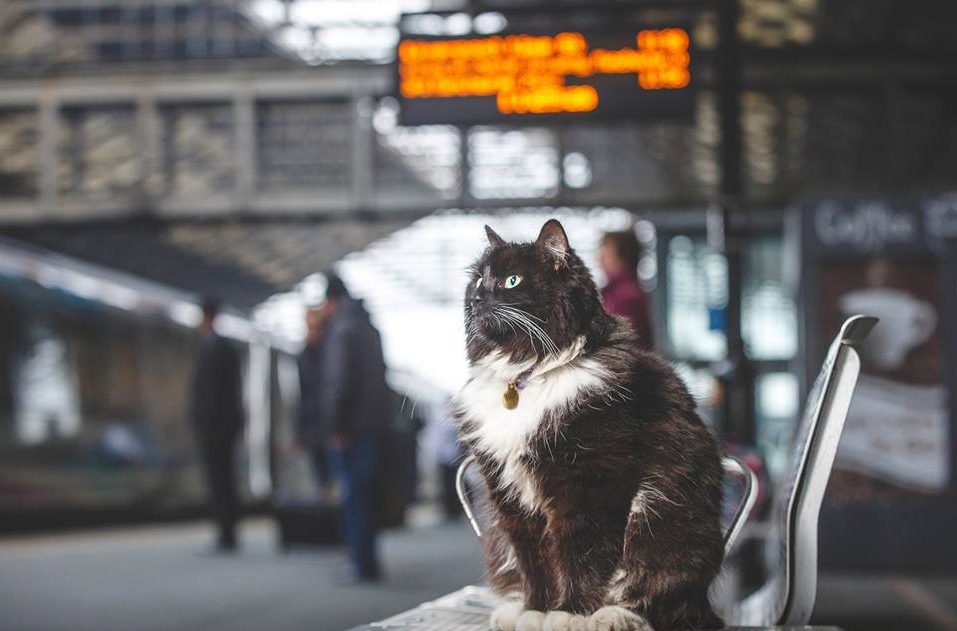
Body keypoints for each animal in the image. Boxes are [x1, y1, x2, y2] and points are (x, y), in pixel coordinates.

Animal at [452, 218, 720, 631]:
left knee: (658, 602)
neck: (525, 376)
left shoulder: (591, 486)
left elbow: (582, 558)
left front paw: (569, 613)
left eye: (512, 280)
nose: (477, 299)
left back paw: (610, 616)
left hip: (663, 523)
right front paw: (534, 611)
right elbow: (535, 563)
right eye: (480, 280)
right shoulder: (509, 497)